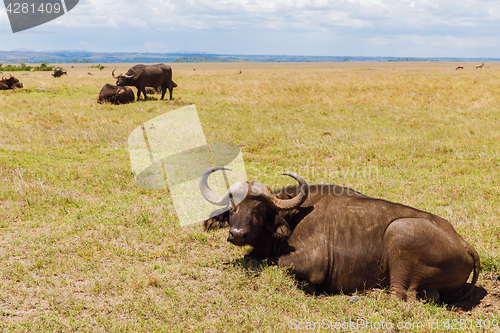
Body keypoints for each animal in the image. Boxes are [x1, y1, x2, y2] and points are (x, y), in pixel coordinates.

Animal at [200, 166, 480, 300]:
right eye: (233, 207)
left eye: (258, 208)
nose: (237, 234)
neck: (293, 216)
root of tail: (463, 243)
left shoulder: (311, 264)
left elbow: (278, 263)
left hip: (399, 232)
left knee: (399, 295)